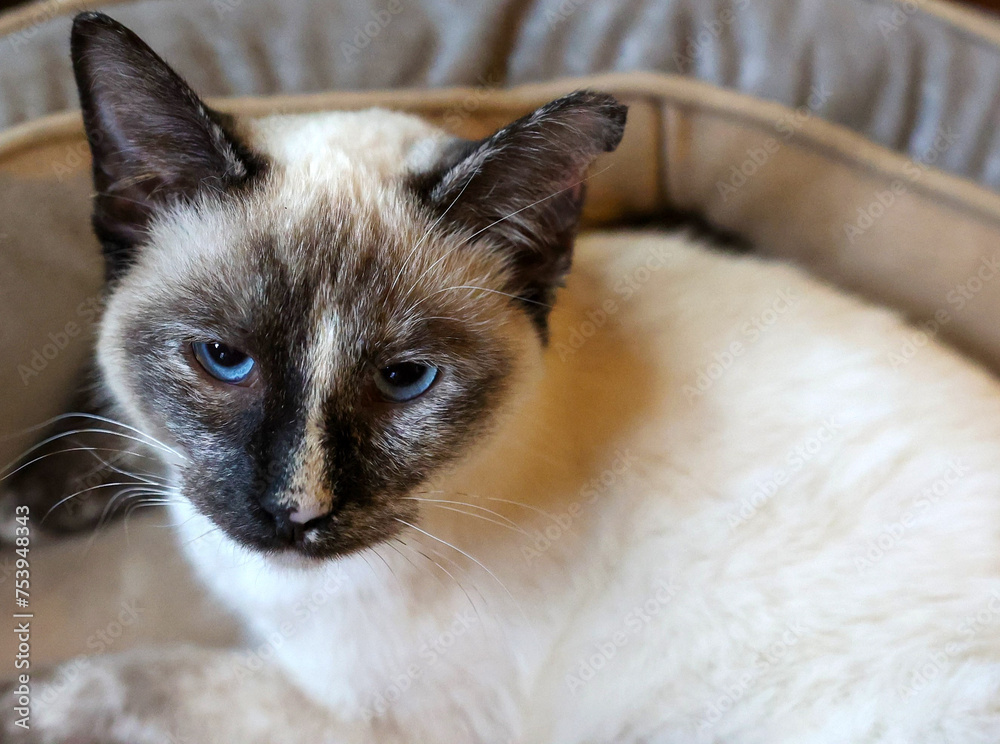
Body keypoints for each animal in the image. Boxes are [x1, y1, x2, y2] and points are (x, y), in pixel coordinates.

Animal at [1, 11, 1000, 744]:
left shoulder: (371, 721)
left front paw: (33, 704)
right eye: (224, 361)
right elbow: (110, 429)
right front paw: (41, 496)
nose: (296, 512)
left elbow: (139, 679)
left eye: (407, 379)